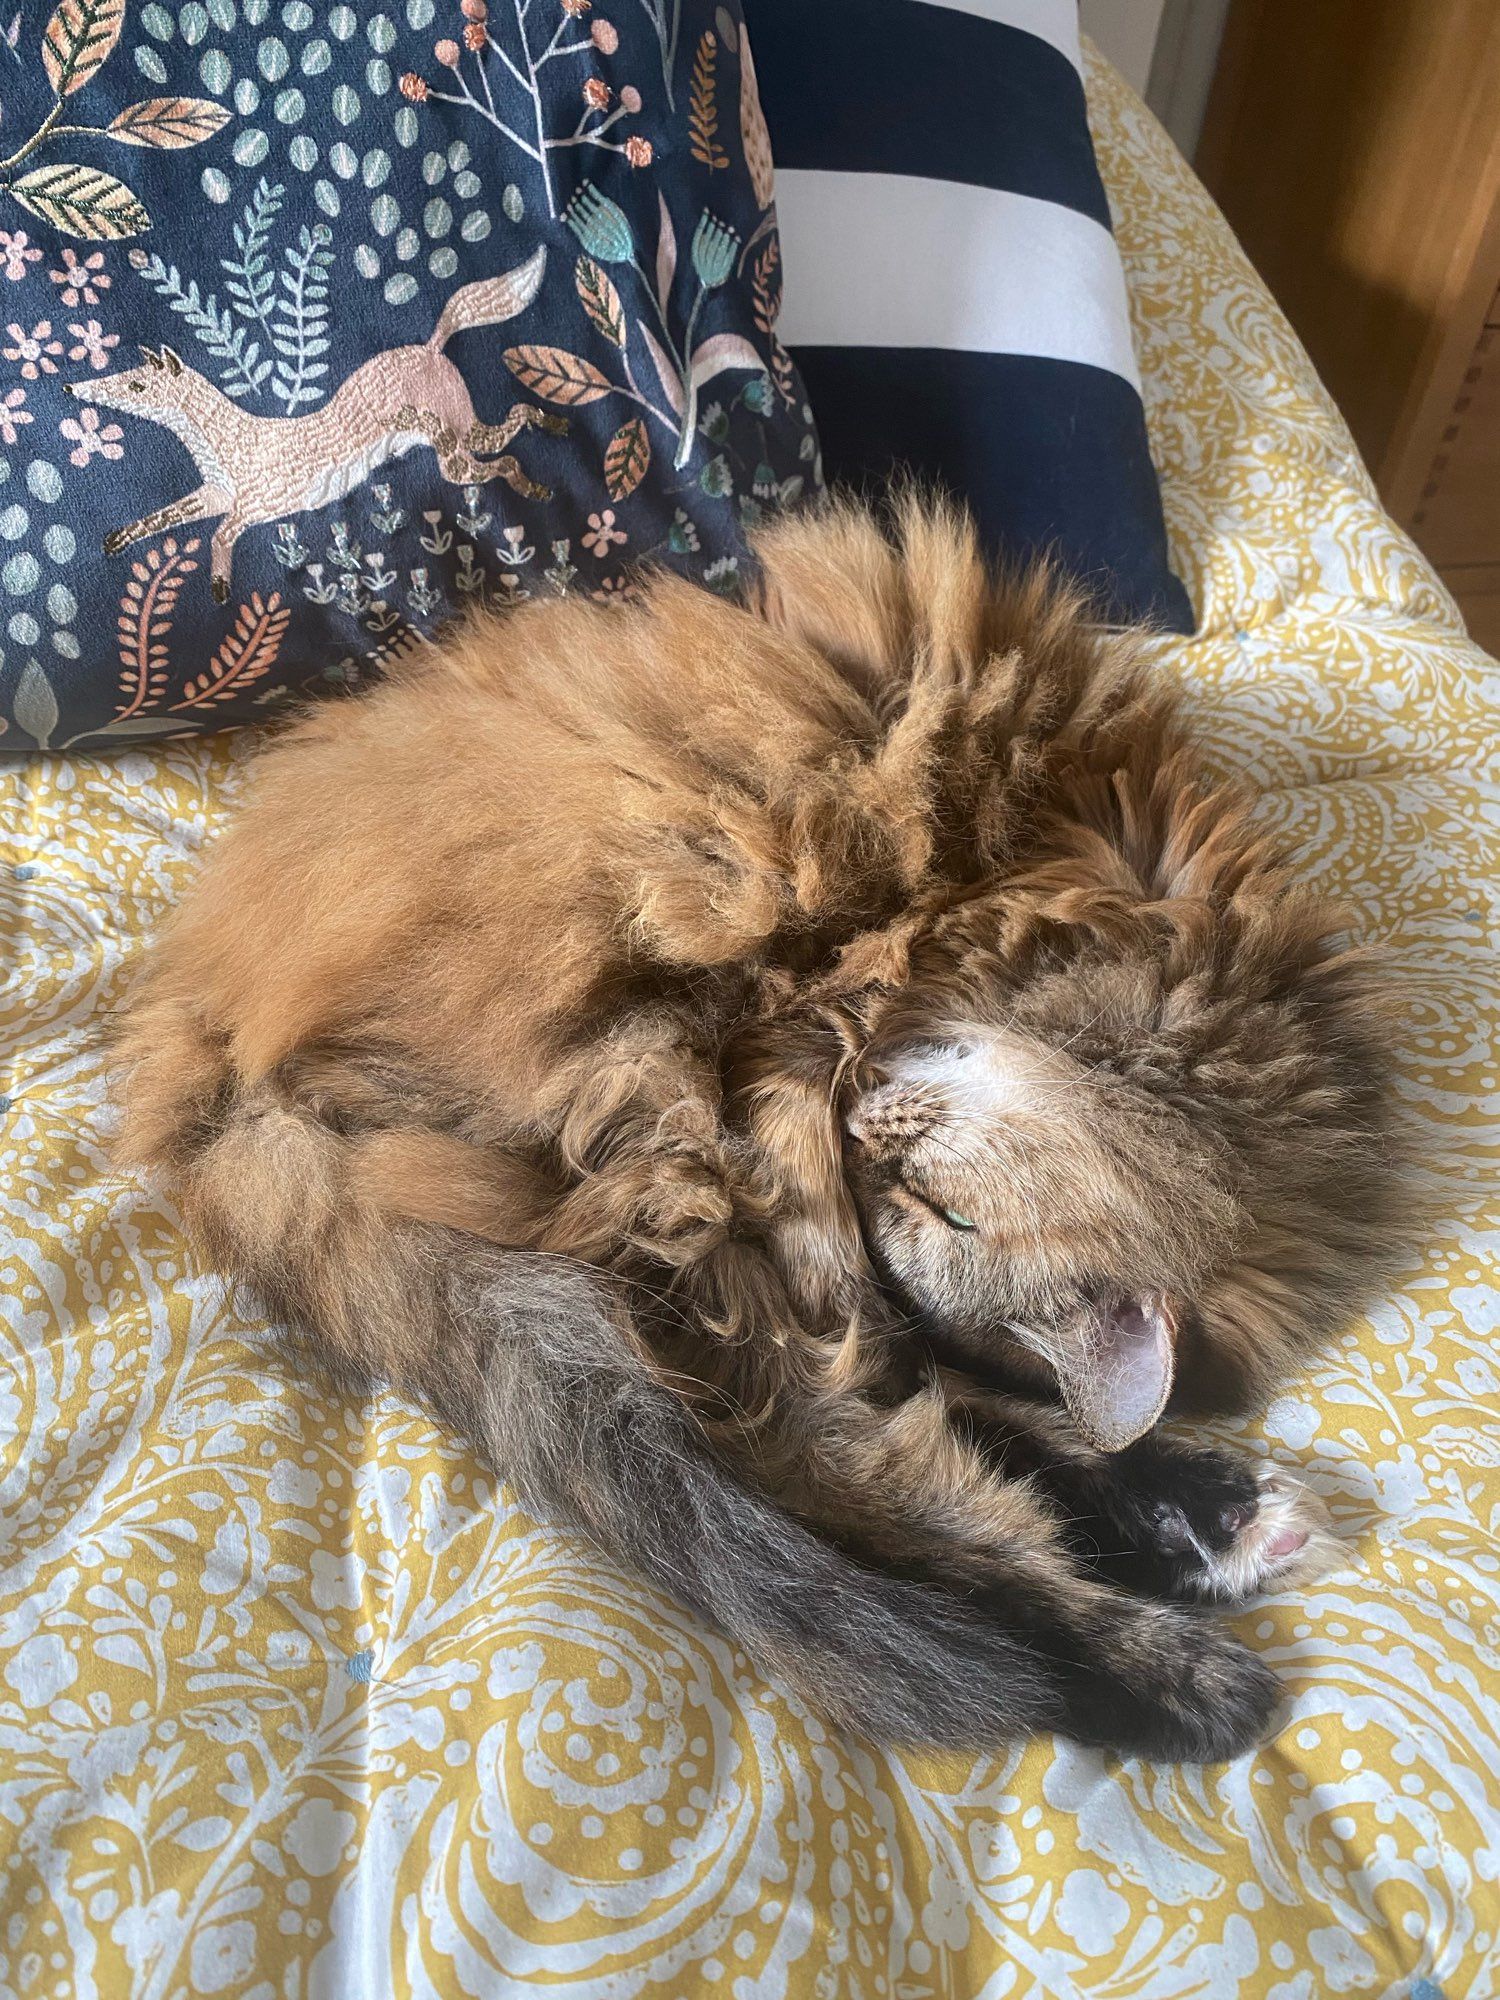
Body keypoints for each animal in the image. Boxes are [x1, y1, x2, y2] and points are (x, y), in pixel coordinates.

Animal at [114, 500, 1408, 1768]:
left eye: (947, 1215)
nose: (872, 1131)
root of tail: (193, 1029)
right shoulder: (800, 1070)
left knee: (862, 1433)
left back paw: (1206, 1538)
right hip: (657, 1113)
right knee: (854, 1460)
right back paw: (1171, 1649)